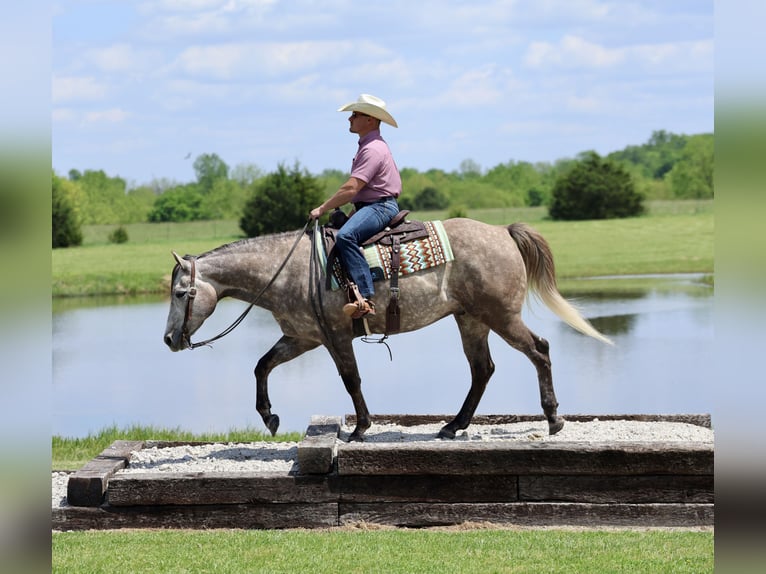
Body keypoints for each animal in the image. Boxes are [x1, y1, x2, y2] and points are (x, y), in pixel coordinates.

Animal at [163, 218, 612, 442]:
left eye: (182, 293)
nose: (169, 340)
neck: (287, 270)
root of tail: (502, 232)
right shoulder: (302, 337)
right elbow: (261, 366)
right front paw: (269, 417)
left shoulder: (335, 336)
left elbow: (351, 379)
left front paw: (361, 427)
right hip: (471, 319)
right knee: (482, 370)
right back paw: (453, 426)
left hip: (500, 316)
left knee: (539, 349)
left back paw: (553, 419)